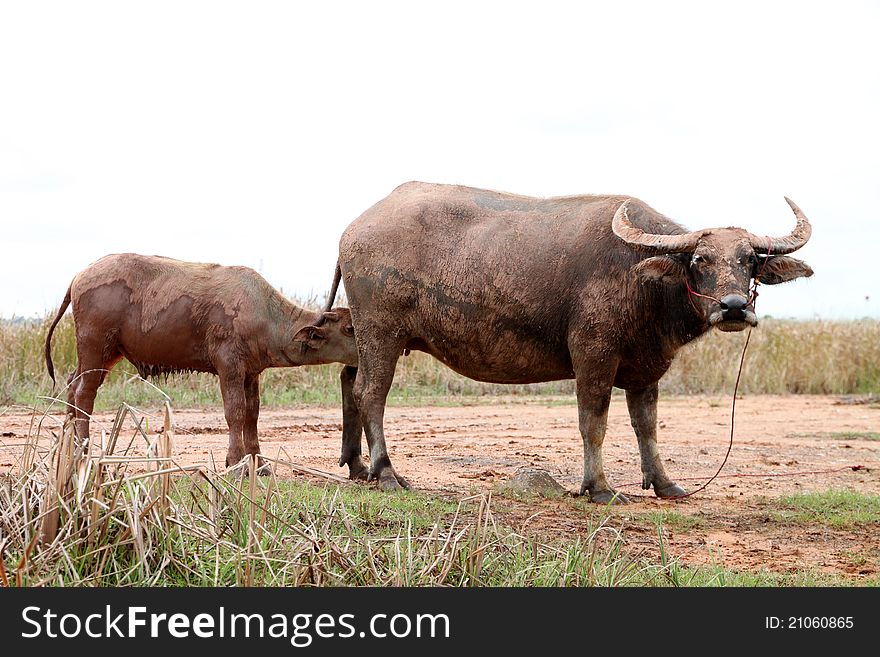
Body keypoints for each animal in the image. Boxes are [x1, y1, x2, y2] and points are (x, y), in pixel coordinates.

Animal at [45, 251, 358, 466]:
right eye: (349, 328)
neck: (264, 314)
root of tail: (79, 276)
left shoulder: (251, 373)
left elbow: (252, 414)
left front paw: (258, 462)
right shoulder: (229, 367)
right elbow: (235, 412)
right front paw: (236, 462)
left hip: (105, 354)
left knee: (73, 385)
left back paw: (68, 446)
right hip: (96, 346)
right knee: (84, 393)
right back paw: (82, 450)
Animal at [326, 183, 816, 502]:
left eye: (749, 259)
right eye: (699, 260)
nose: (733, 307)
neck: (641, 281)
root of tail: (353, 229)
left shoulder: (646, 369)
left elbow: (647, 427)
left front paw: (664, 484)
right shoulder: (593, 358)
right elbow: (593, 423)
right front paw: (598, 487)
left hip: (364, 337)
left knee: (349, 380)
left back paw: (356, 466)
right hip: (381, 334)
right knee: (371, 393)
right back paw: (386, 473)